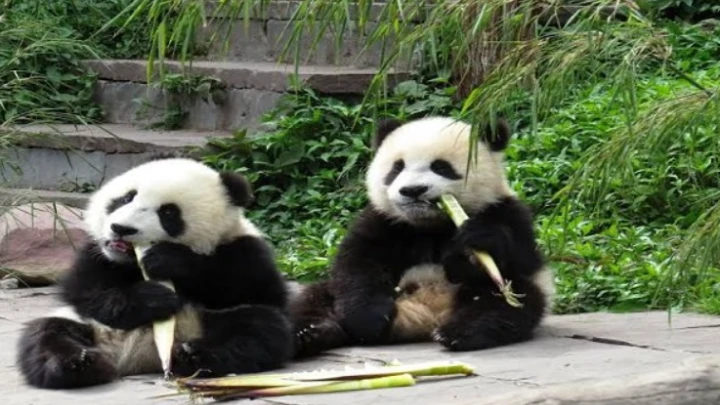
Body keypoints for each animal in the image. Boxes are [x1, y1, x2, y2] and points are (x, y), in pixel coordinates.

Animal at [16, 157, 293, 389]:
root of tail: (138, 359)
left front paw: (168, 260)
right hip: (89, 325)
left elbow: (255, 289)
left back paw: (192, 355)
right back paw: (79, 363)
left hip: (202, 322)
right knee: (47, 334)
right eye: (126, 198)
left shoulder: (246, 248)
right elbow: (86, 290)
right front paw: (153, 298)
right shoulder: (96, 253)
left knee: (258, 328)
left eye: (168, 212)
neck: (132, 263)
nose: (121, 228)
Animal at [290, 116, 554, 357]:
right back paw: (310, 333)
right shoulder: (384, 220)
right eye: (397, 168)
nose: (413, 190)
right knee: (315, 299)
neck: (430, 224)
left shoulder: (505, 210)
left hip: (506, 293)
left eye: (441, 167)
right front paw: (368, 322)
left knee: (503, 303)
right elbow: (359, 264)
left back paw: (458, 333)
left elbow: (520, 259)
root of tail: (424, 317)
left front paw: (474, 241)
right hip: (332, 294)